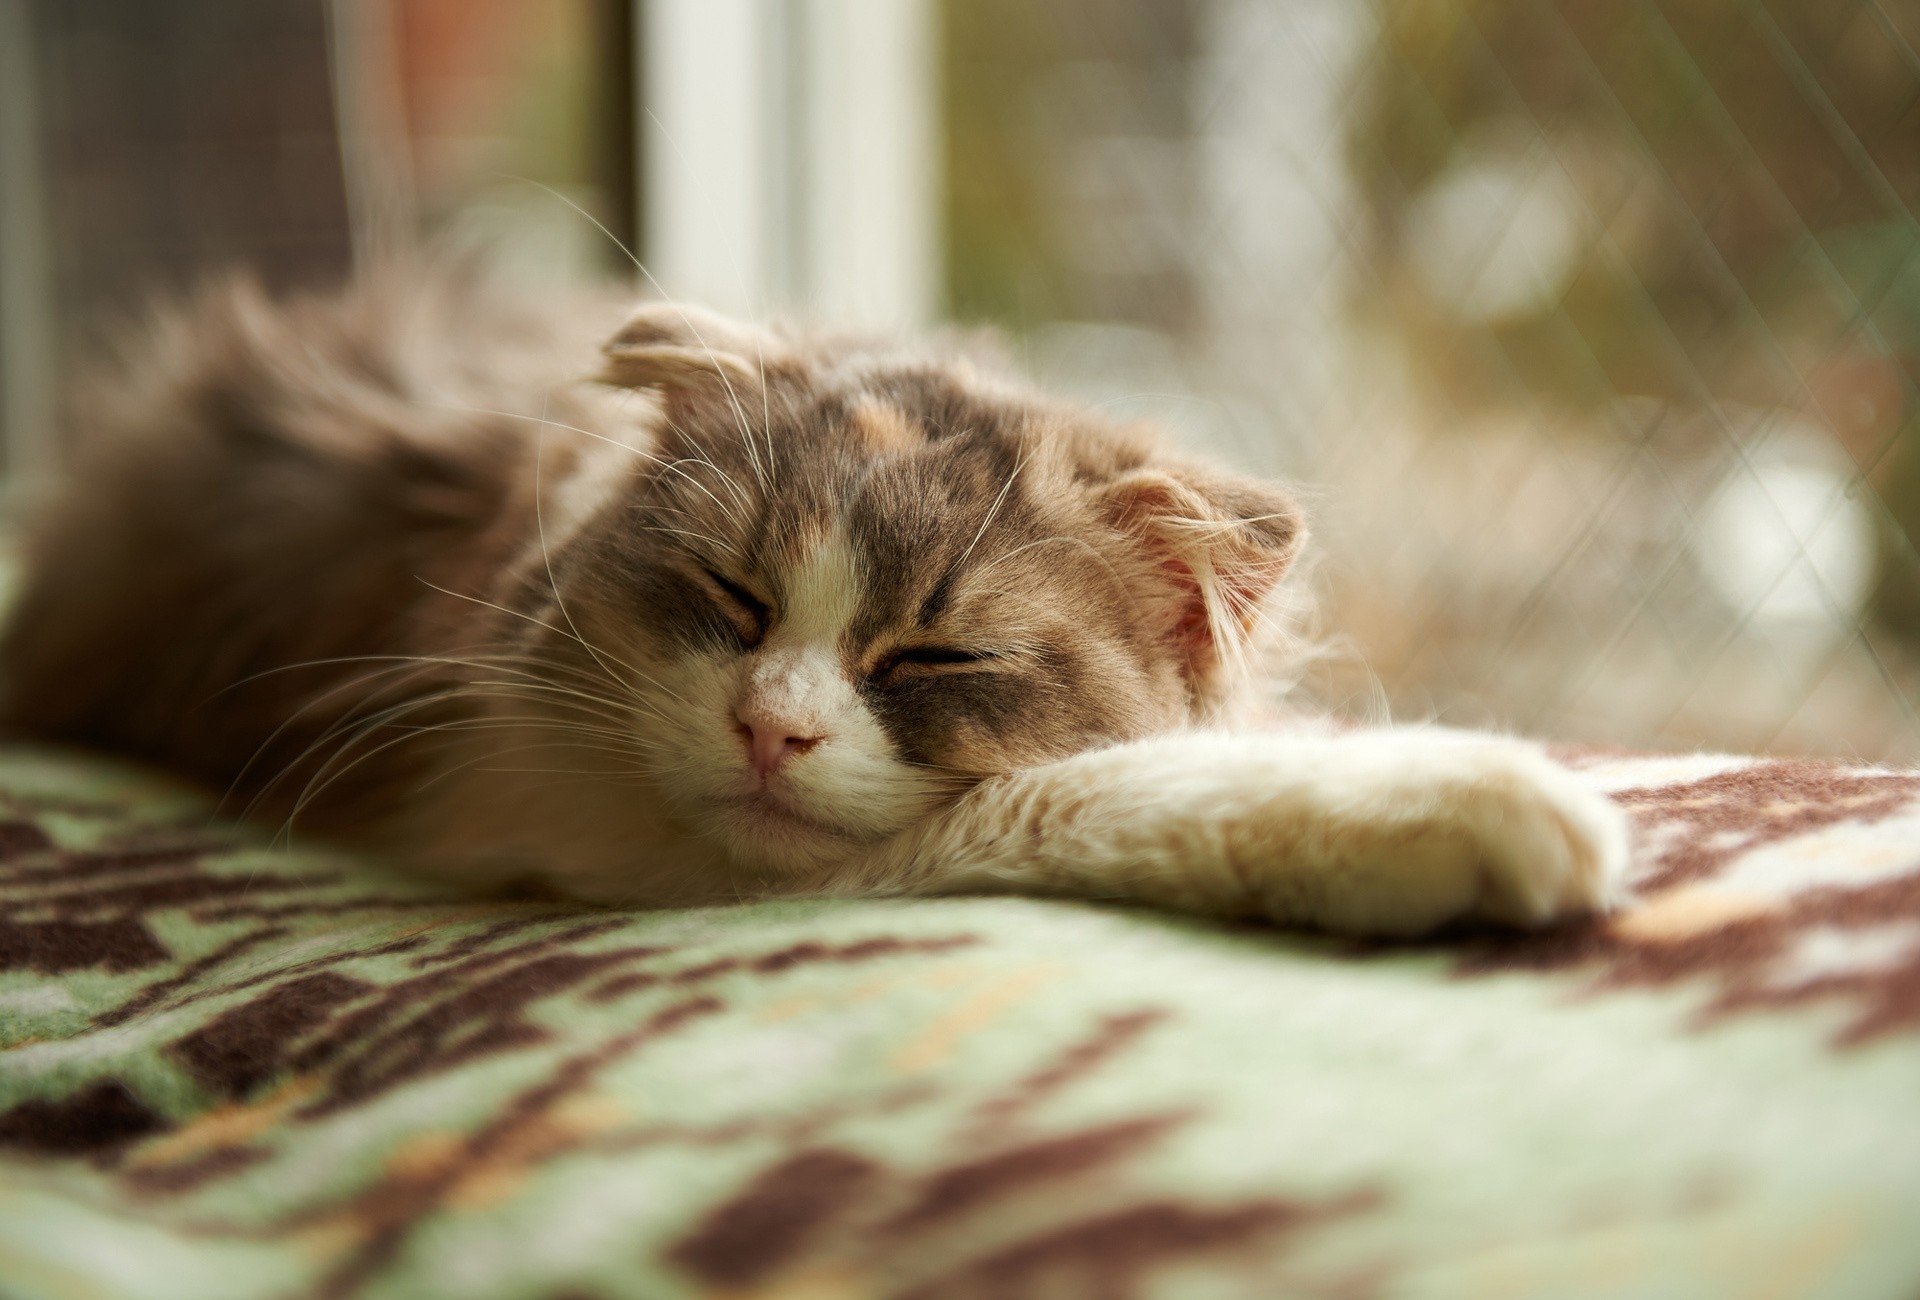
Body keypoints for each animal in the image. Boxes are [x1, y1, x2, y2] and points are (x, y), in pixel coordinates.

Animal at [0, 268, 1628, 933]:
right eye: (732, 596)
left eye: (936, 654)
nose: (769, 730)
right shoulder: (564, 823)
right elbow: (1090, 795)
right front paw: (1478, 809)